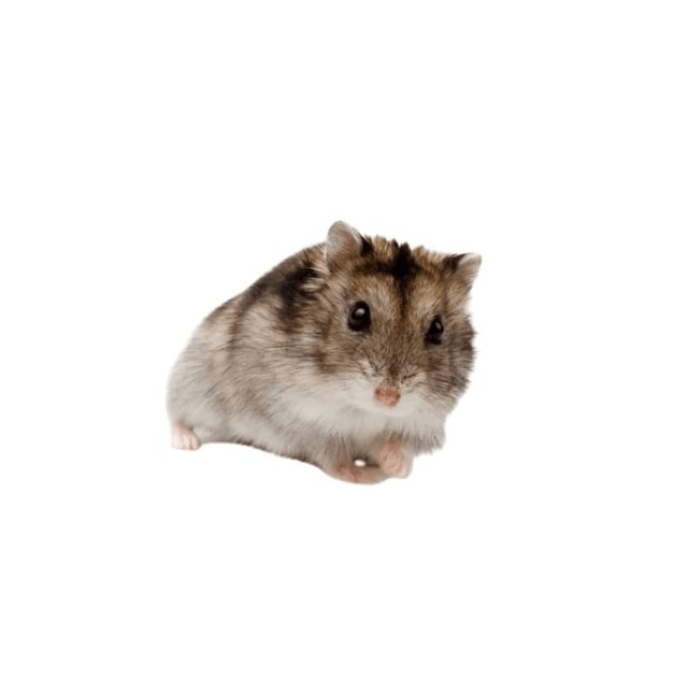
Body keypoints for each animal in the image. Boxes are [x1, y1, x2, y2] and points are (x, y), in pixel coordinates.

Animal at [167, 221, 481, 484]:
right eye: (358, 314)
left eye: (437, 329)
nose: (389, 398)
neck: (362, 409)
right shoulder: (303, 422)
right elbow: (334, 456)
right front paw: (365, 476)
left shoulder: (422, 422)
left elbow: (399, 445)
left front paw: (392, 467)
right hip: (192, 381)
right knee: (176, 414)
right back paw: (186, 442)